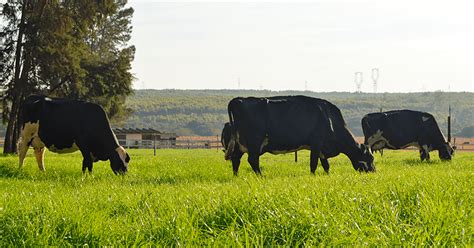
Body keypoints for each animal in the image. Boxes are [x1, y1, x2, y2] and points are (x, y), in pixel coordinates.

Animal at [222, 96, 374, 175]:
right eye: (370, 158)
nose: (373, 171)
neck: (329, 119)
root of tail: (239, 99)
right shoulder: (316, 143)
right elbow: (313, 163)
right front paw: (313, 176)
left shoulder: (322, 148)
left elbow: (326, 165)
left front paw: (327, 175)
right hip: (254, 142)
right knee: (252, 160)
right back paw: (261, 176)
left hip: (240, 144)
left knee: (236, 159)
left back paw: (236, 176)